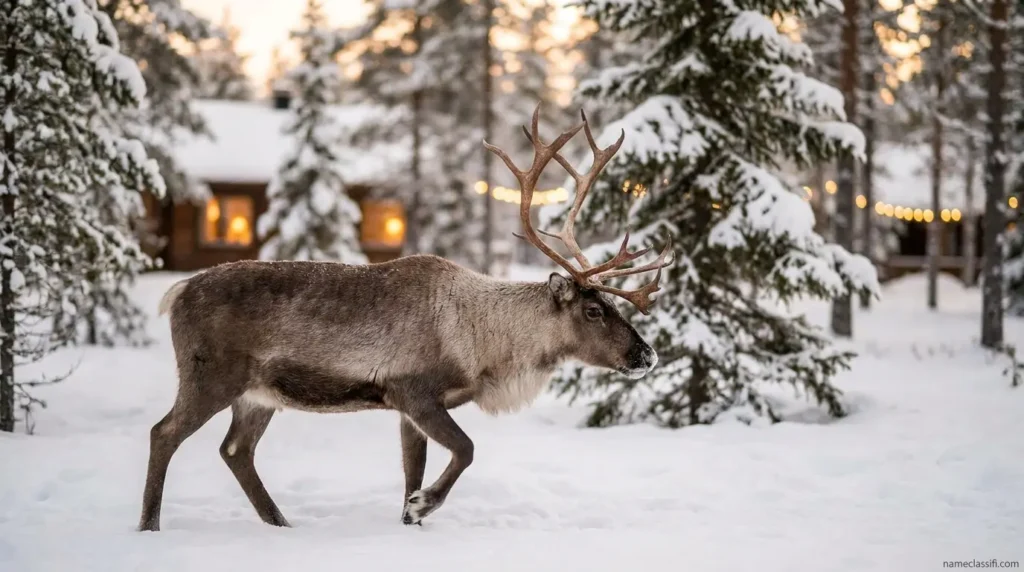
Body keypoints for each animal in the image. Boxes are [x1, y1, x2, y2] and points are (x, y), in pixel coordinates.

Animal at [137, 104, 673, 532]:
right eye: (593, 309)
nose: (646, 355)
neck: (486, 347)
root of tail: (177, 292)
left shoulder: (408, 408)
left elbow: (414, 467)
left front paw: (410, 519)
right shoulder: (414, 390)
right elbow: (466, 450)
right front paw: (422, 505)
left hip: (259, 394)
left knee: (235, 451)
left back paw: (280, 524)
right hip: (211, 375)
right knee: (163, 433)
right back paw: (150, 527)